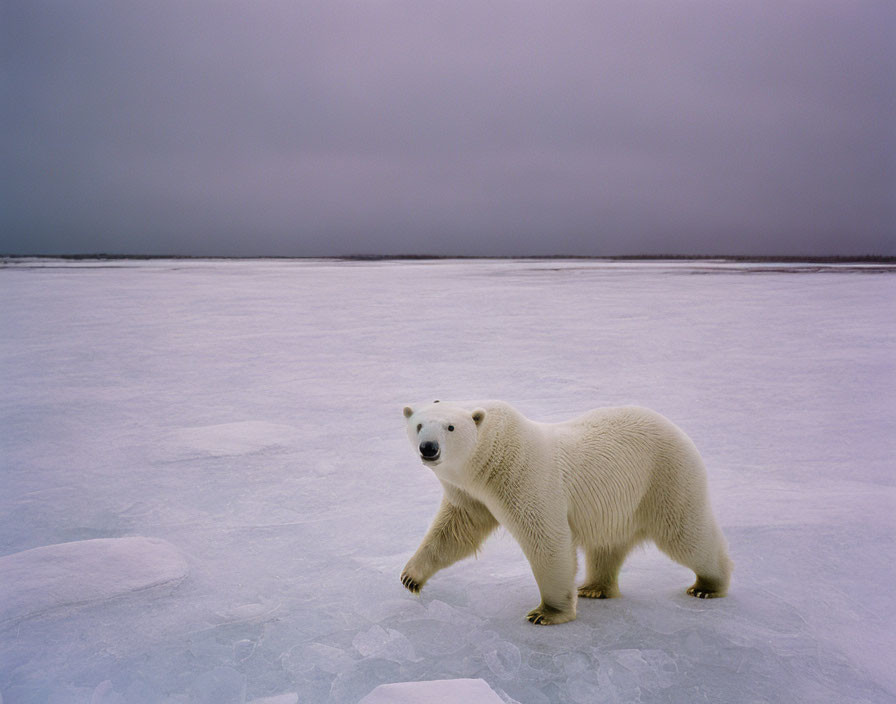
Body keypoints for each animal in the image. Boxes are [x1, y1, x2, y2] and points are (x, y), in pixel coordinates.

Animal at [402, 398, 732, 624]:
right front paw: (410, 577)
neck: (492, 457)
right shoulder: (470, 495)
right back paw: (595, 587)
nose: (428, 447)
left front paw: (547, 613)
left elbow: (546, 540)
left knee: (685, 535)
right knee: (607, 545)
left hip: (665, 477)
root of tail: (677, 429)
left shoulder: (525, 478)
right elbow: (454, 532)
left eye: (450, 427)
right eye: (418, 425)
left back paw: (707, 585)